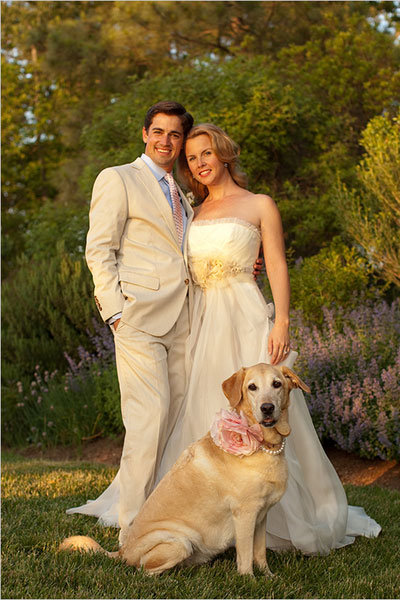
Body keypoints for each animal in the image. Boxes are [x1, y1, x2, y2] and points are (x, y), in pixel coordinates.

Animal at [60, 364, 310, 576]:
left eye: (276, 384)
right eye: (252, 387)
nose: (267, 408)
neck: (265, 445)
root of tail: (122, 552)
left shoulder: (261, 516)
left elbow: (260, 554)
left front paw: (268, 577)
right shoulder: (245, 515)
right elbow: (246, 556)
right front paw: (249, 580)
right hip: (179, 542)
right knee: (143, 571)